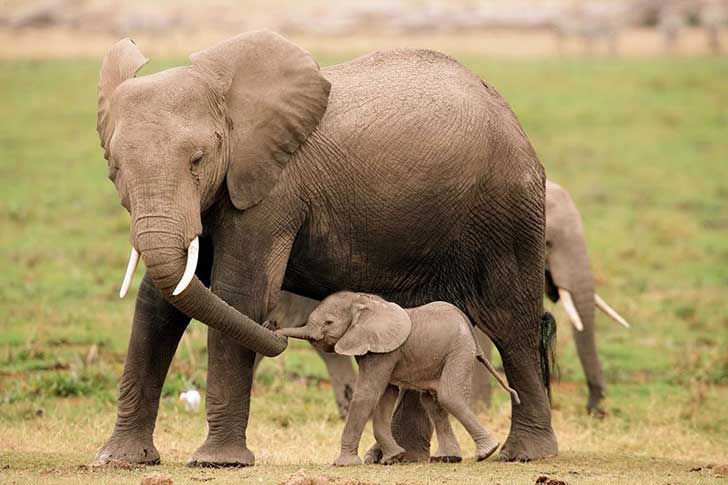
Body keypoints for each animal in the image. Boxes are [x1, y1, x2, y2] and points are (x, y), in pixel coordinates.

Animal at [276, 292, 520, 466]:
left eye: (328, 322)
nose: (274, 328)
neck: (363, 301)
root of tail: (467, 323)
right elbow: (386, 396)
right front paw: (394, 457)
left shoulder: (384, 351)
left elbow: (368, 394)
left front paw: (344, 464)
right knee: (432, 401)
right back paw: (448, 458)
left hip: (459, 349)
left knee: (449, 396)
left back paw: (487, 452)